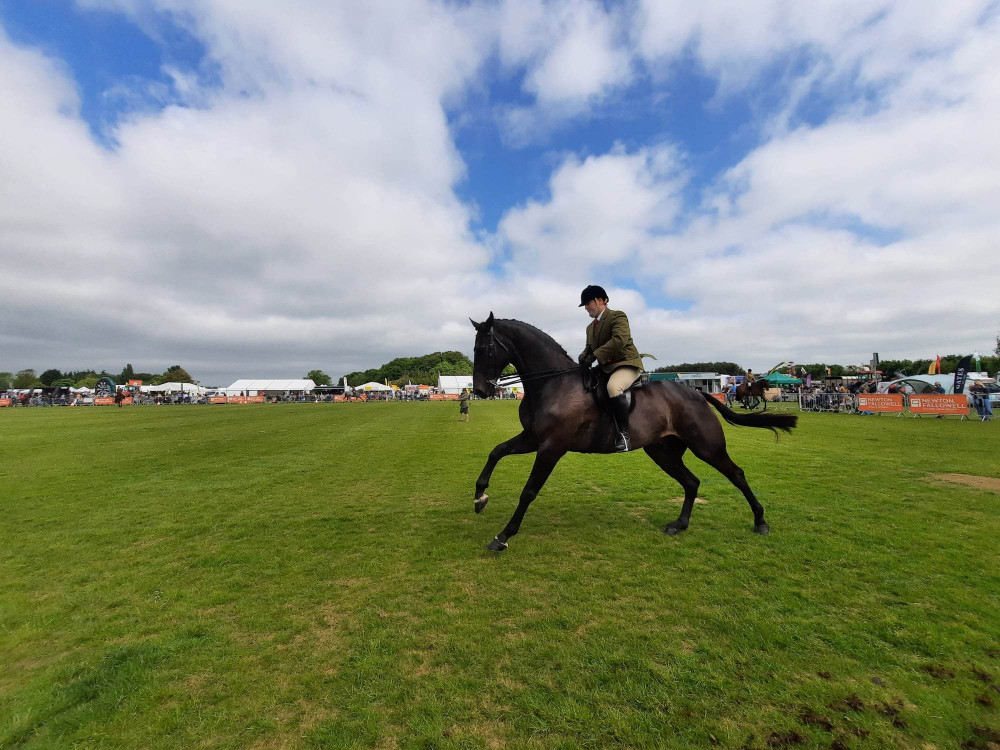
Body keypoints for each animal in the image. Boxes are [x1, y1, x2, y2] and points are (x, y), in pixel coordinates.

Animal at [468, 314, 796, 556]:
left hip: (707, 446)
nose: (481, 391)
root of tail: (696, 394)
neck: (552, 384)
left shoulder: (551, 447)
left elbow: (529, 491)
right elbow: (496, 451)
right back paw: (679, 524)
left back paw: (760, 521)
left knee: (736, 474)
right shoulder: (533, 438)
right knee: (691, 482)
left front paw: (503, 536)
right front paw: (480, 496)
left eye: (484, 349)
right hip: (663, 452)